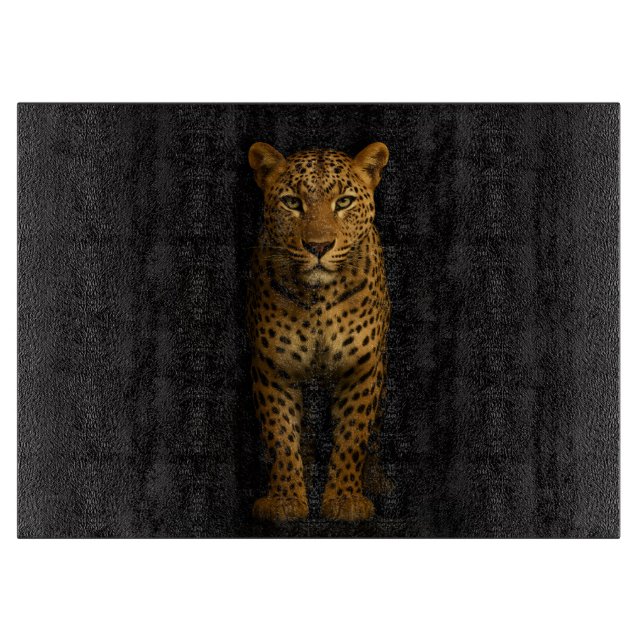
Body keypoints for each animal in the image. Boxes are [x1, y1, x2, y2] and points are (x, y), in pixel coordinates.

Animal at [246, 141, 391, 522]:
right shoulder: (273, 368)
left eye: (344, 202)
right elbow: (281, 435)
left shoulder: (363, 368)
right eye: (292, 202)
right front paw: (284, 500)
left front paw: (345, 499)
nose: (318, 247)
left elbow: (353, 435)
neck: (319, 300)